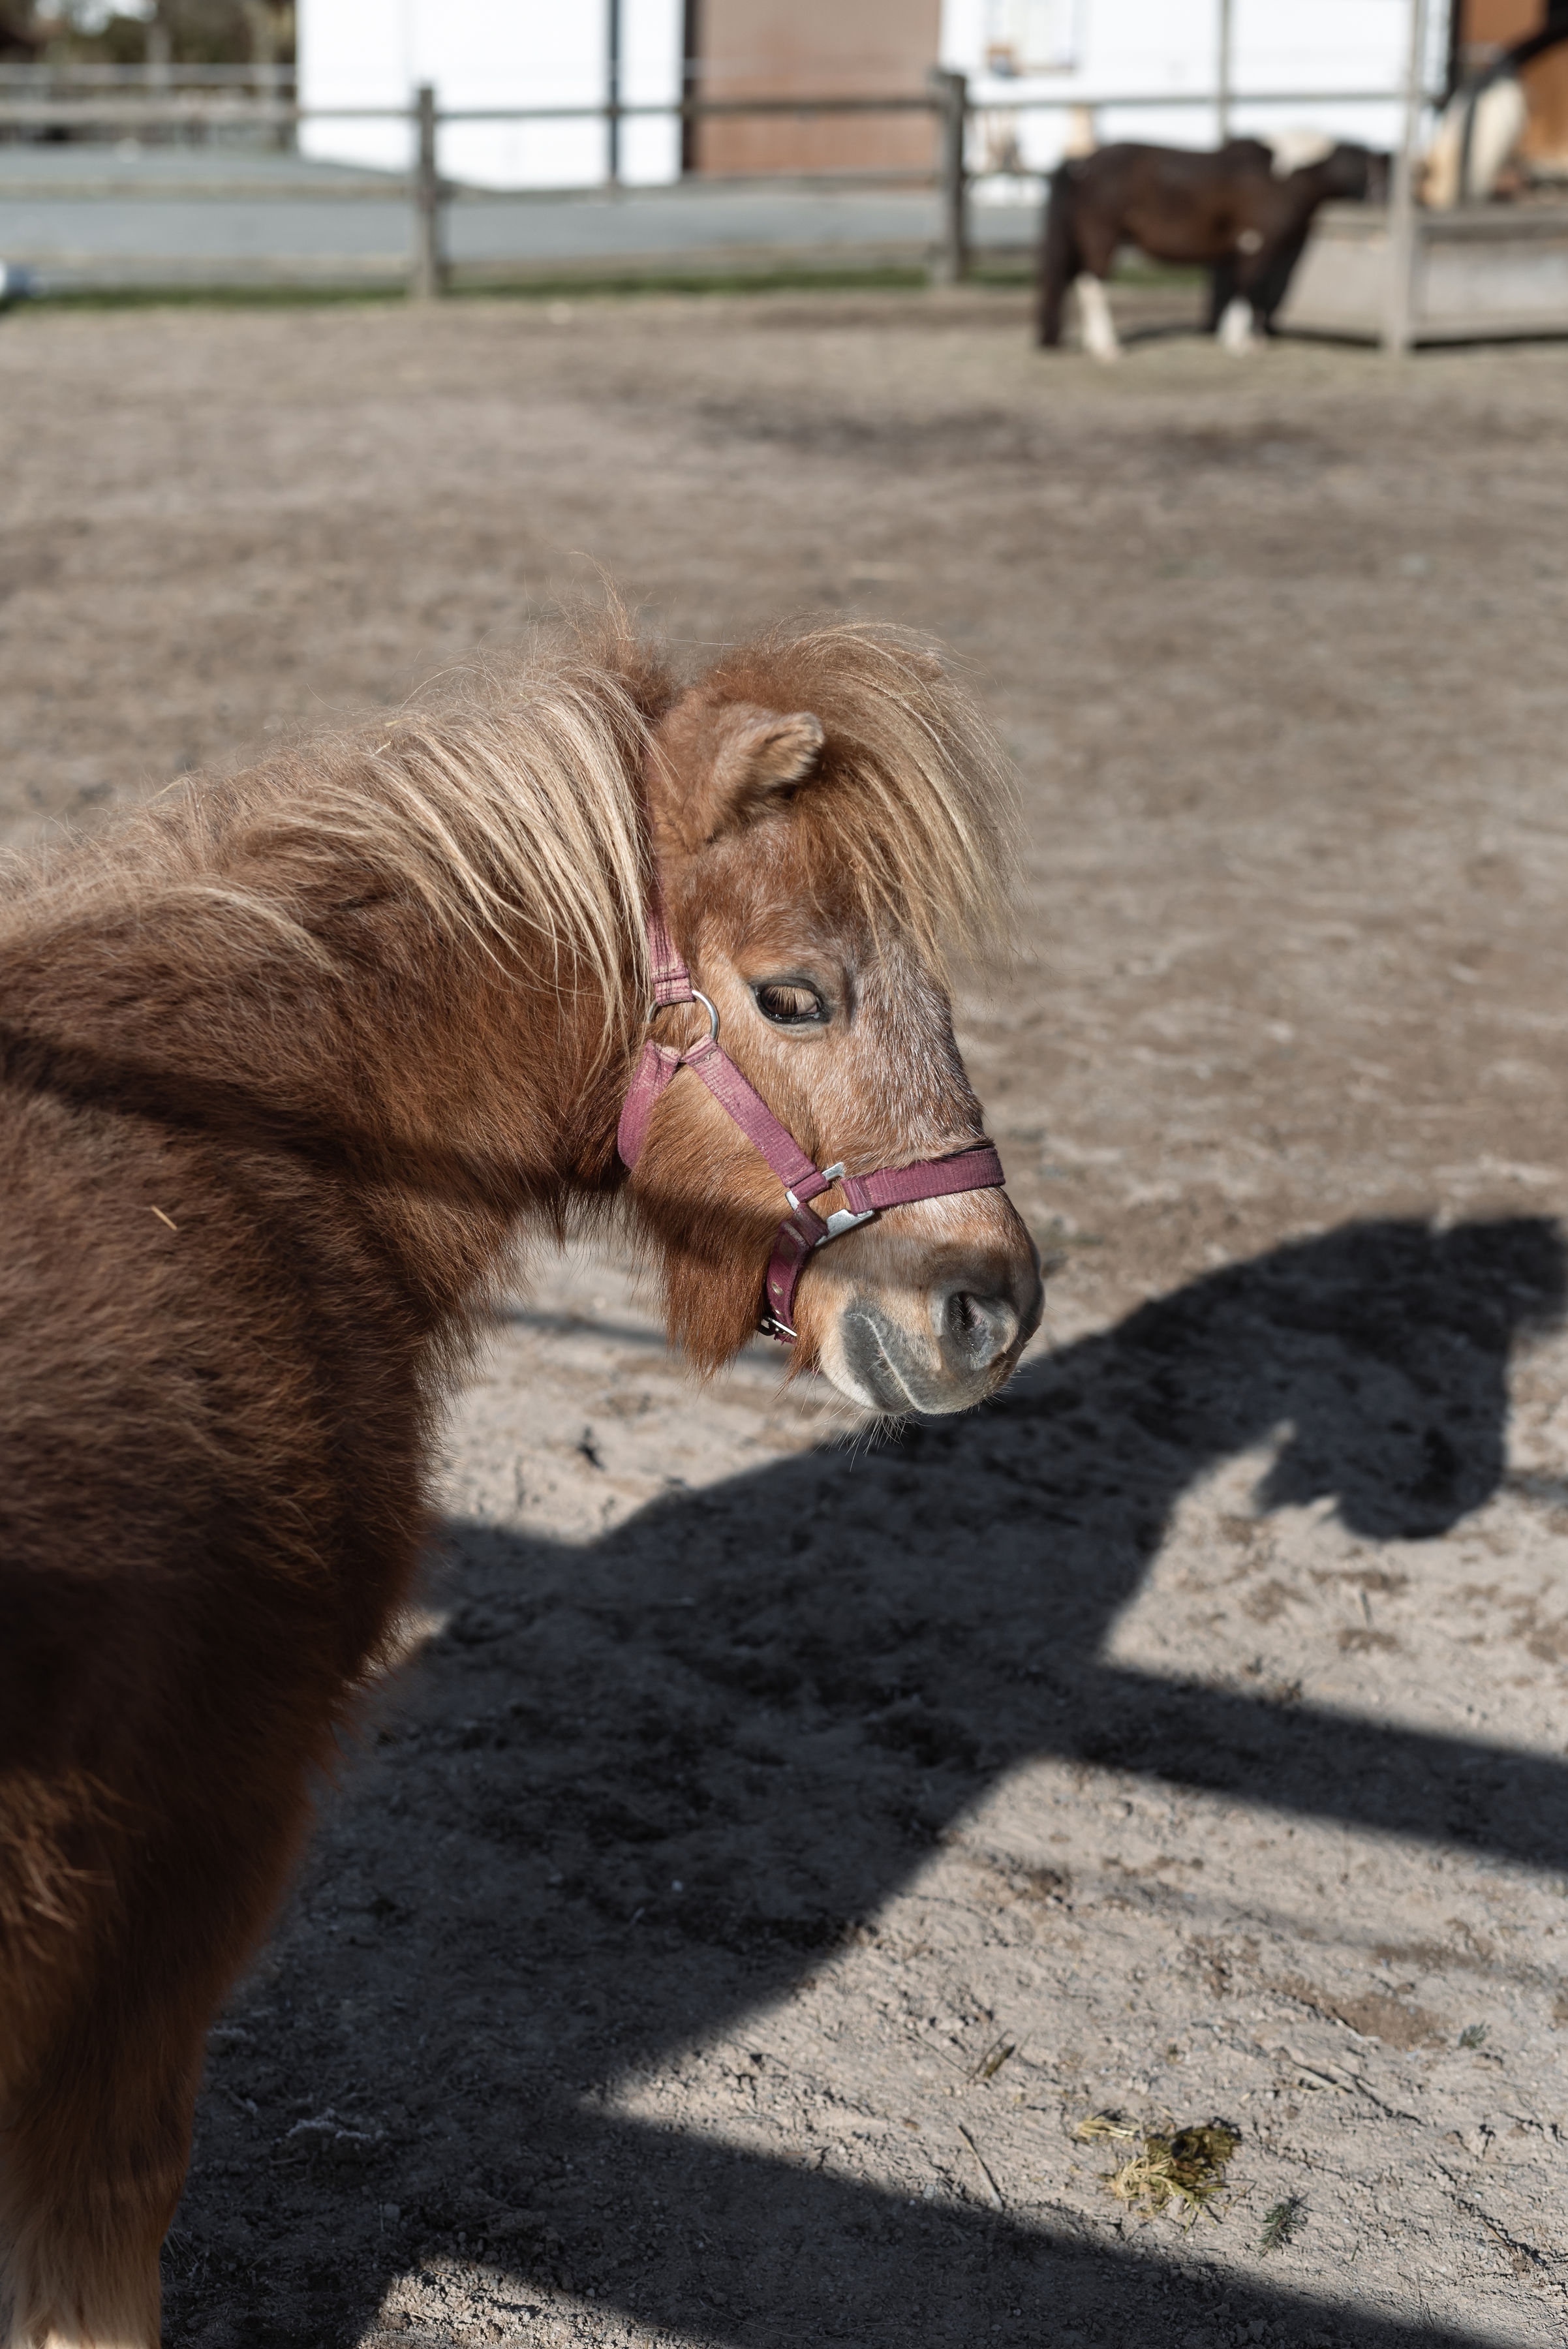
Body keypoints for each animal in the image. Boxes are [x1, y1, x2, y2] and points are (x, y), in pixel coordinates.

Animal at [1037, 137, 1387, 359]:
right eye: (1370, 171)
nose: (1382, 201)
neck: (1286, 176)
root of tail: (1081, 164)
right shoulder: (1256, 244)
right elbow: (1248, 286)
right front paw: (1237, 341)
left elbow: (1250, 290)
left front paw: (1249, 338)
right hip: (1102, 238)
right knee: (1093, 285)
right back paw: (1107, 347)